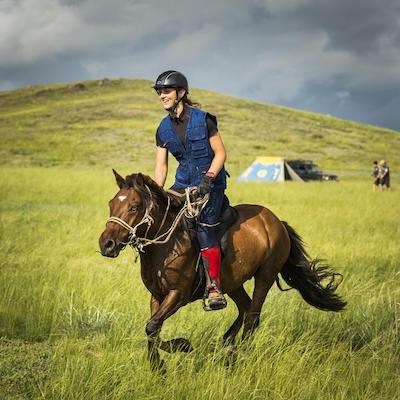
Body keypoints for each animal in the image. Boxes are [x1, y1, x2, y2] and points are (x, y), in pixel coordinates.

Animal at [98, 170, 346, 370]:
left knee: (252, 317)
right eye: (111, 204)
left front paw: (182, 346)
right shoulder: (157, 296)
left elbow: (152, 326)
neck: (166, 245)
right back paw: (227, 344)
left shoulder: (178, 295)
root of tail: (277, 222)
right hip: (233, 283)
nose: (106, 244)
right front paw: (158, 366)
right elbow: (153, 328)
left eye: (134, 207)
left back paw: (240, 353)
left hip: (265, 276)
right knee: (245, 308)